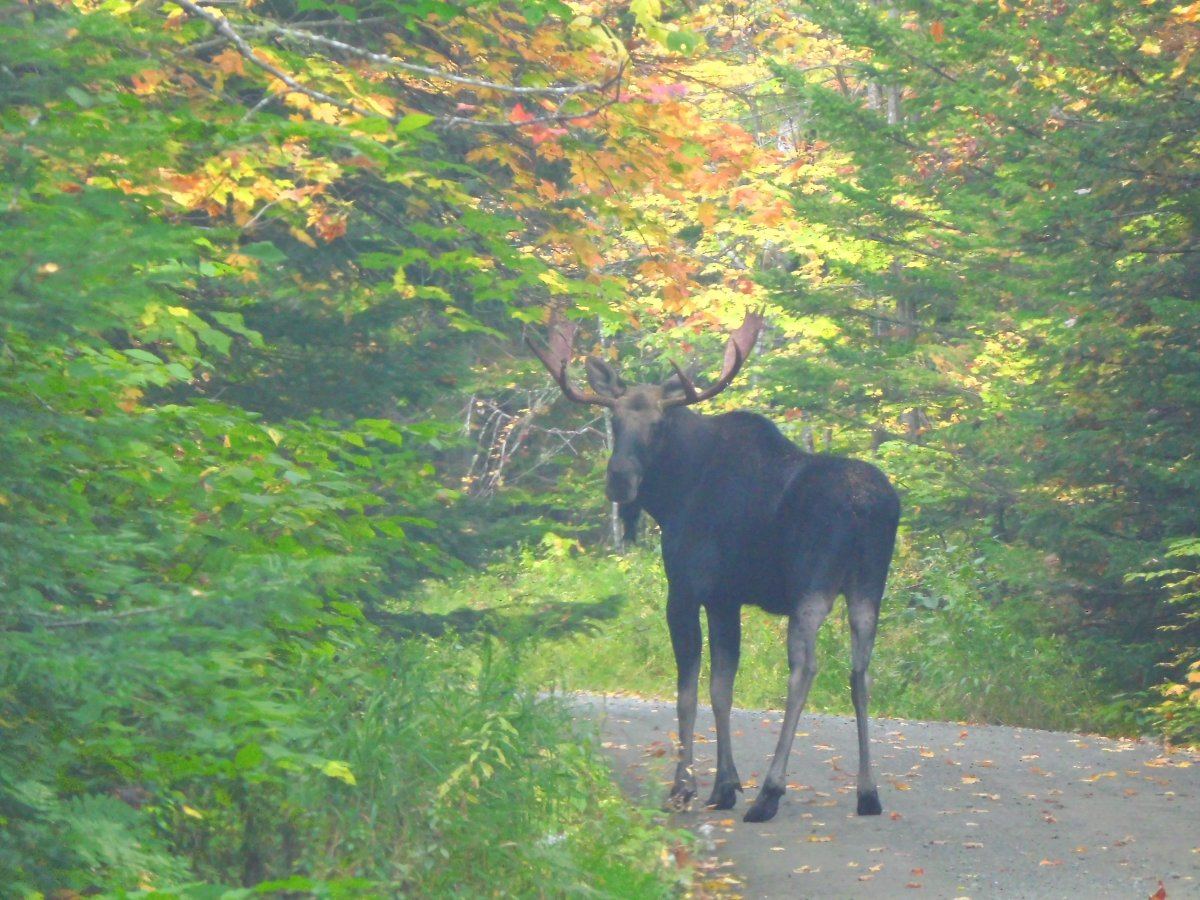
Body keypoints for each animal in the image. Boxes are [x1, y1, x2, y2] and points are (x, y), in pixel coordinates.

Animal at [529, 311, 900, 823]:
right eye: (614, 419)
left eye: (659, 423)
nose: (619, 478)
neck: (674, 495)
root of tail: (869, 506)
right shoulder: (726, 598)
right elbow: (722, 687)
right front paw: (724, 785)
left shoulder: (685, 589)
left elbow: (687, 692)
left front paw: (684, 786)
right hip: (868, 586)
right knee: (860, 671)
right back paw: (867, 792)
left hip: (813, 585)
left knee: (805, 668)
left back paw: (770, 792)